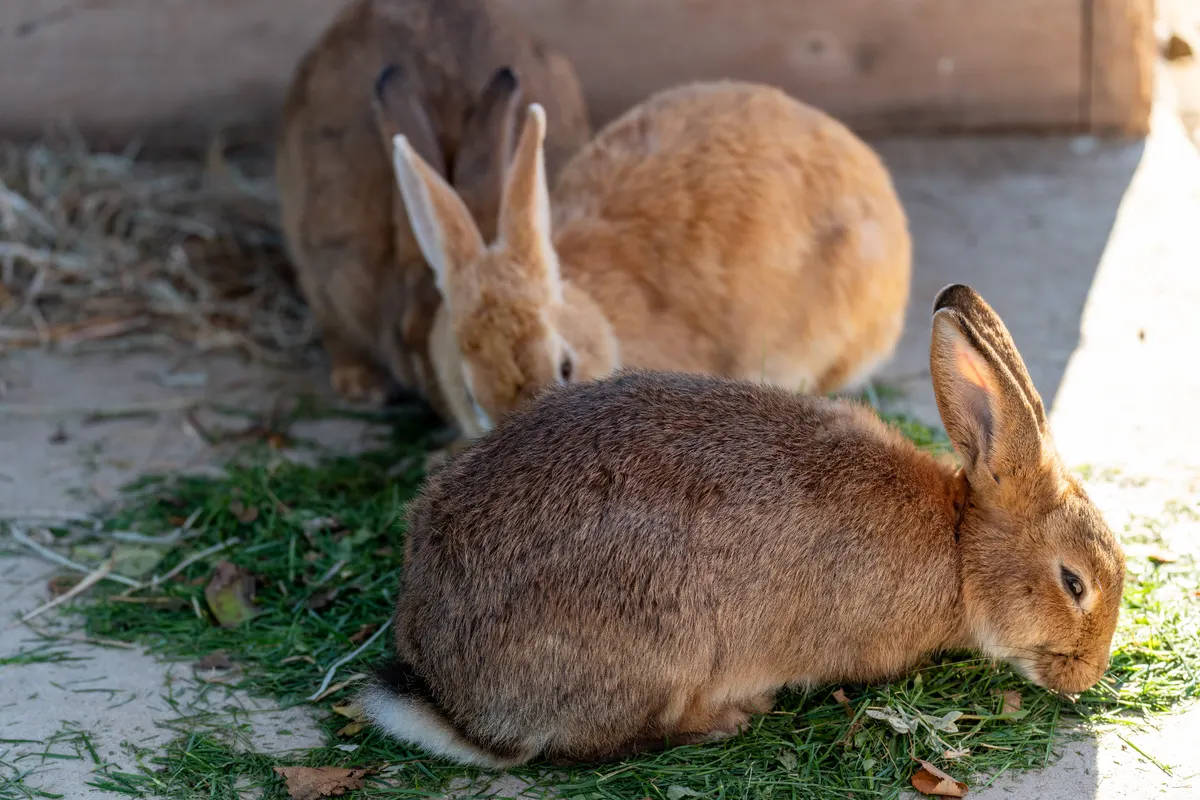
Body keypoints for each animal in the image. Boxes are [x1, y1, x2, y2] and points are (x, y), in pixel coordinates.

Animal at [359, 284, 1126, 767]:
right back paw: (727, 718)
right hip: (660, 649)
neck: (960, 548)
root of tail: (453, 698)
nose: (1085, 677)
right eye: (1073, 582)